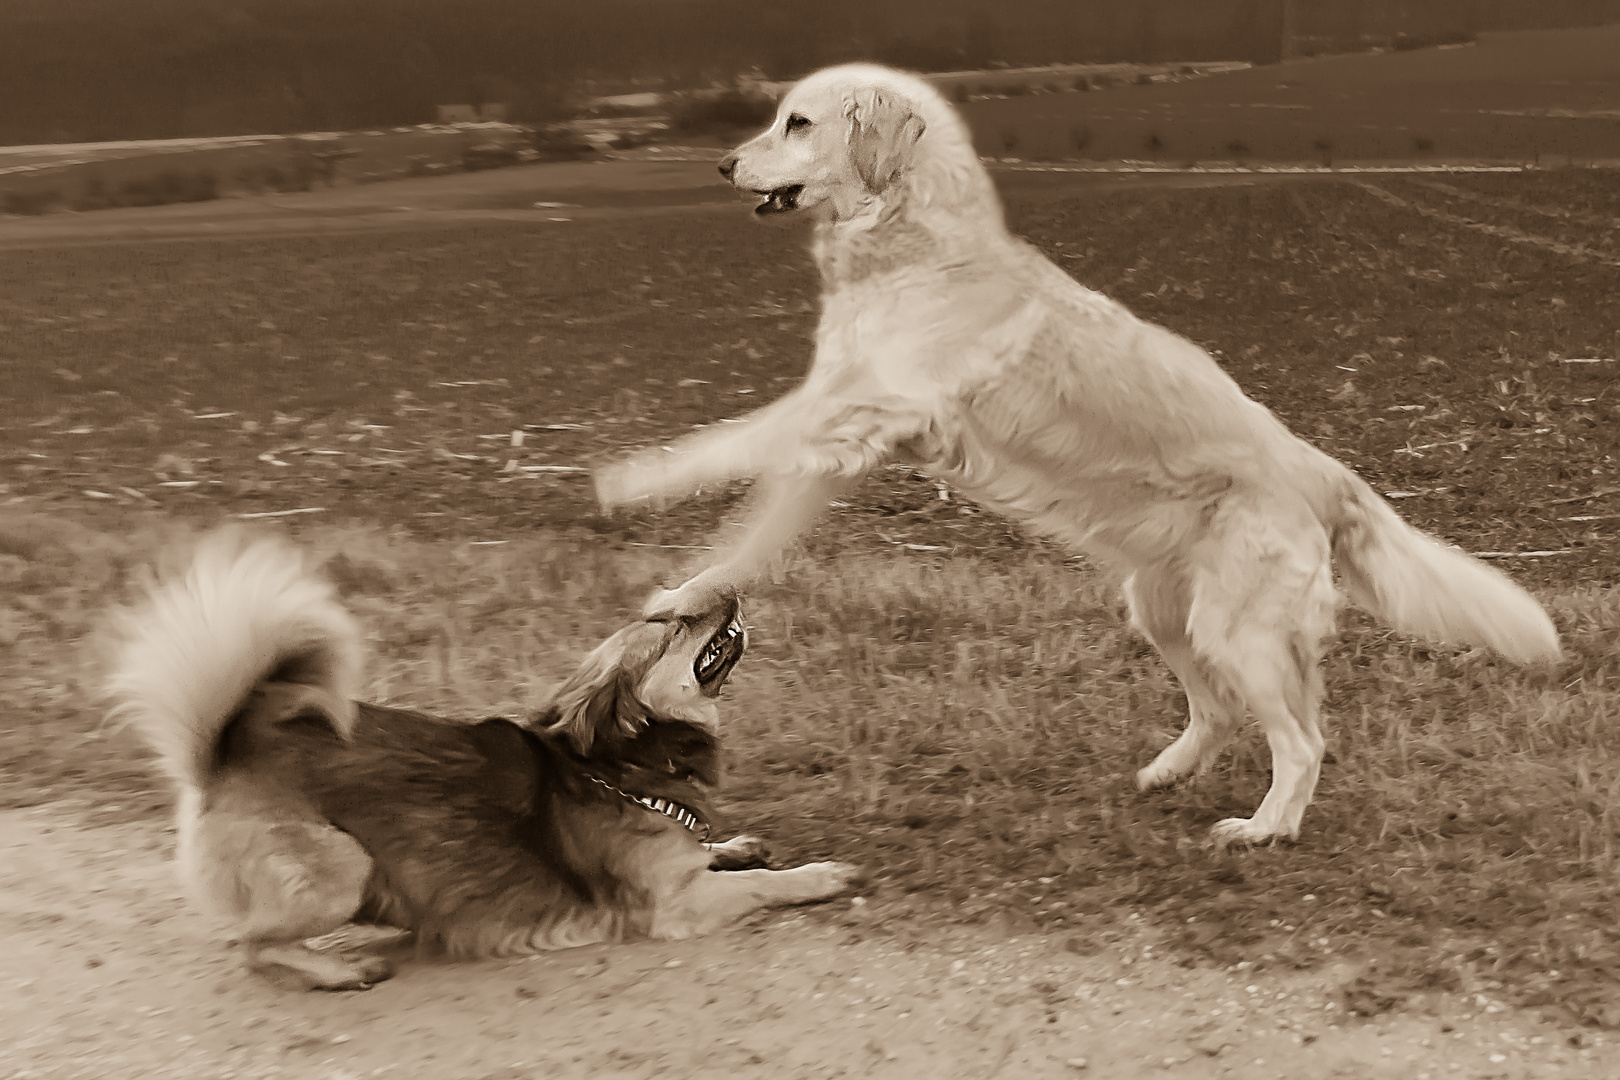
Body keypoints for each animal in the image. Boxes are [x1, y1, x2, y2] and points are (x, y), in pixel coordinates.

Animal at [104, 531, 861, 990]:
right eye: (666, 625)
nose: (727, 582)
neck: (626, 766)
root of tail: (225, 754)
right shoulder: (678, 906)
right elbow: (762, 886)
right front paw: (819, 876)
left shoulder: (682, 864)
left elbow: (715, 851)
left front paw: (737, 843)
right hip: (344, 867)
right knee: (249, 946)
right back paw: (336, 971)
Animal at [596, 63, 1555, 848]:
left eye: (796, 123)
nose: (723, 166)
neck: (915, 242)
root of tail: (1322, 468)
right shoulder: (844, 440)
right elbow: (744, 533)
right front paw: (686, 591)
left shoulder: (852, 409)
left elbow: (726, 442)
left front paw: (630, 478)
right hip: (1165, 612)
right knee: (1222, 713)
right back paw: (1168, 773)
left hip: (1235, 627)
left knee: (1302, 739)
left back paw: (1264, 829)